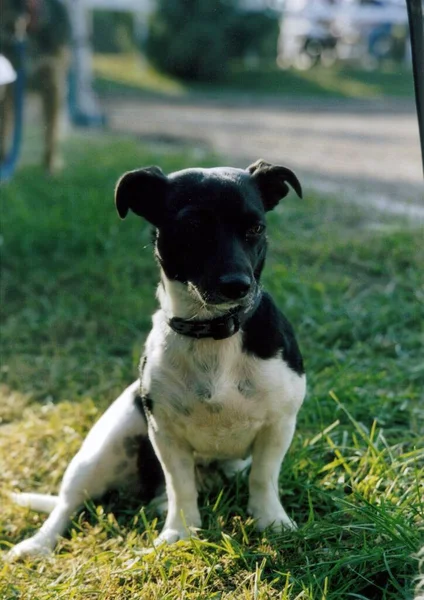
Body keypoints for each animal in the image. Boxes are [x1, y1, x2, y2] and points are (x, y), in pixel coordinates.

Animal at [8, 158, 306, 556]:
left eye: (256, 228)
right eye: (192, 226)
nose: (238, 286)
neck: (212, 331)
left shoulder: (278, 426)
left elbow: (263, 478)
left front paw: (271, 521)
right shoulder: (166, 435)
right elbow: (181, 488)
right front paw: (180, 532)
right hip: (100, 449)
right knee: (68, 504)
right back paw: (38, 544)